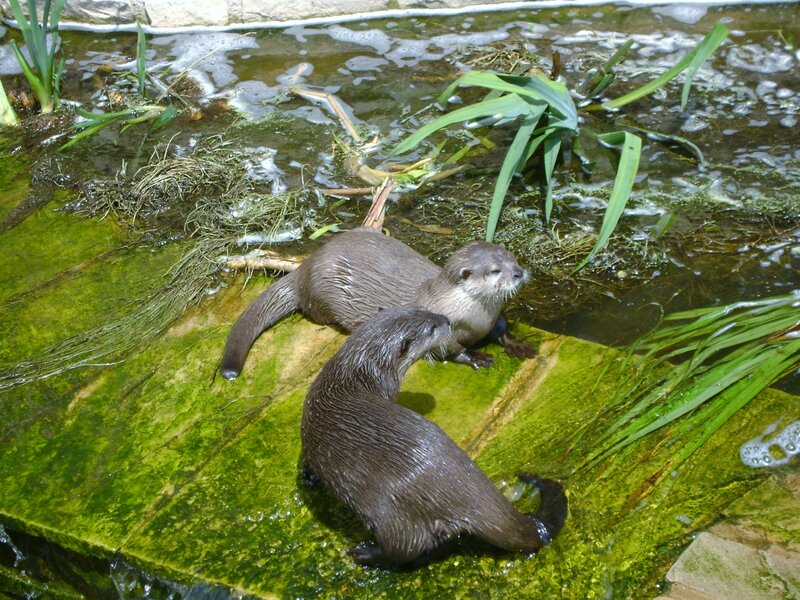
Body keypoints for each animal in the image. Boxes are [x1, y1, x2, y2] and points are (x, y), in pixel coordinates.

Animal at [221, 227, 535, 379]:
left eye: (513, 259)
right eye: (495, 270)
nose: (518, 273)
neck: (474, 317)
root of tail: (305, 267)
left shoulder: (494, 315)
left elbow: (502, 329)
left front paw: (518, 345)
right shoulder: (440, 324)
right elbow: (449, 349)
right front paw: (476, 357)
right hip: (322, 292)